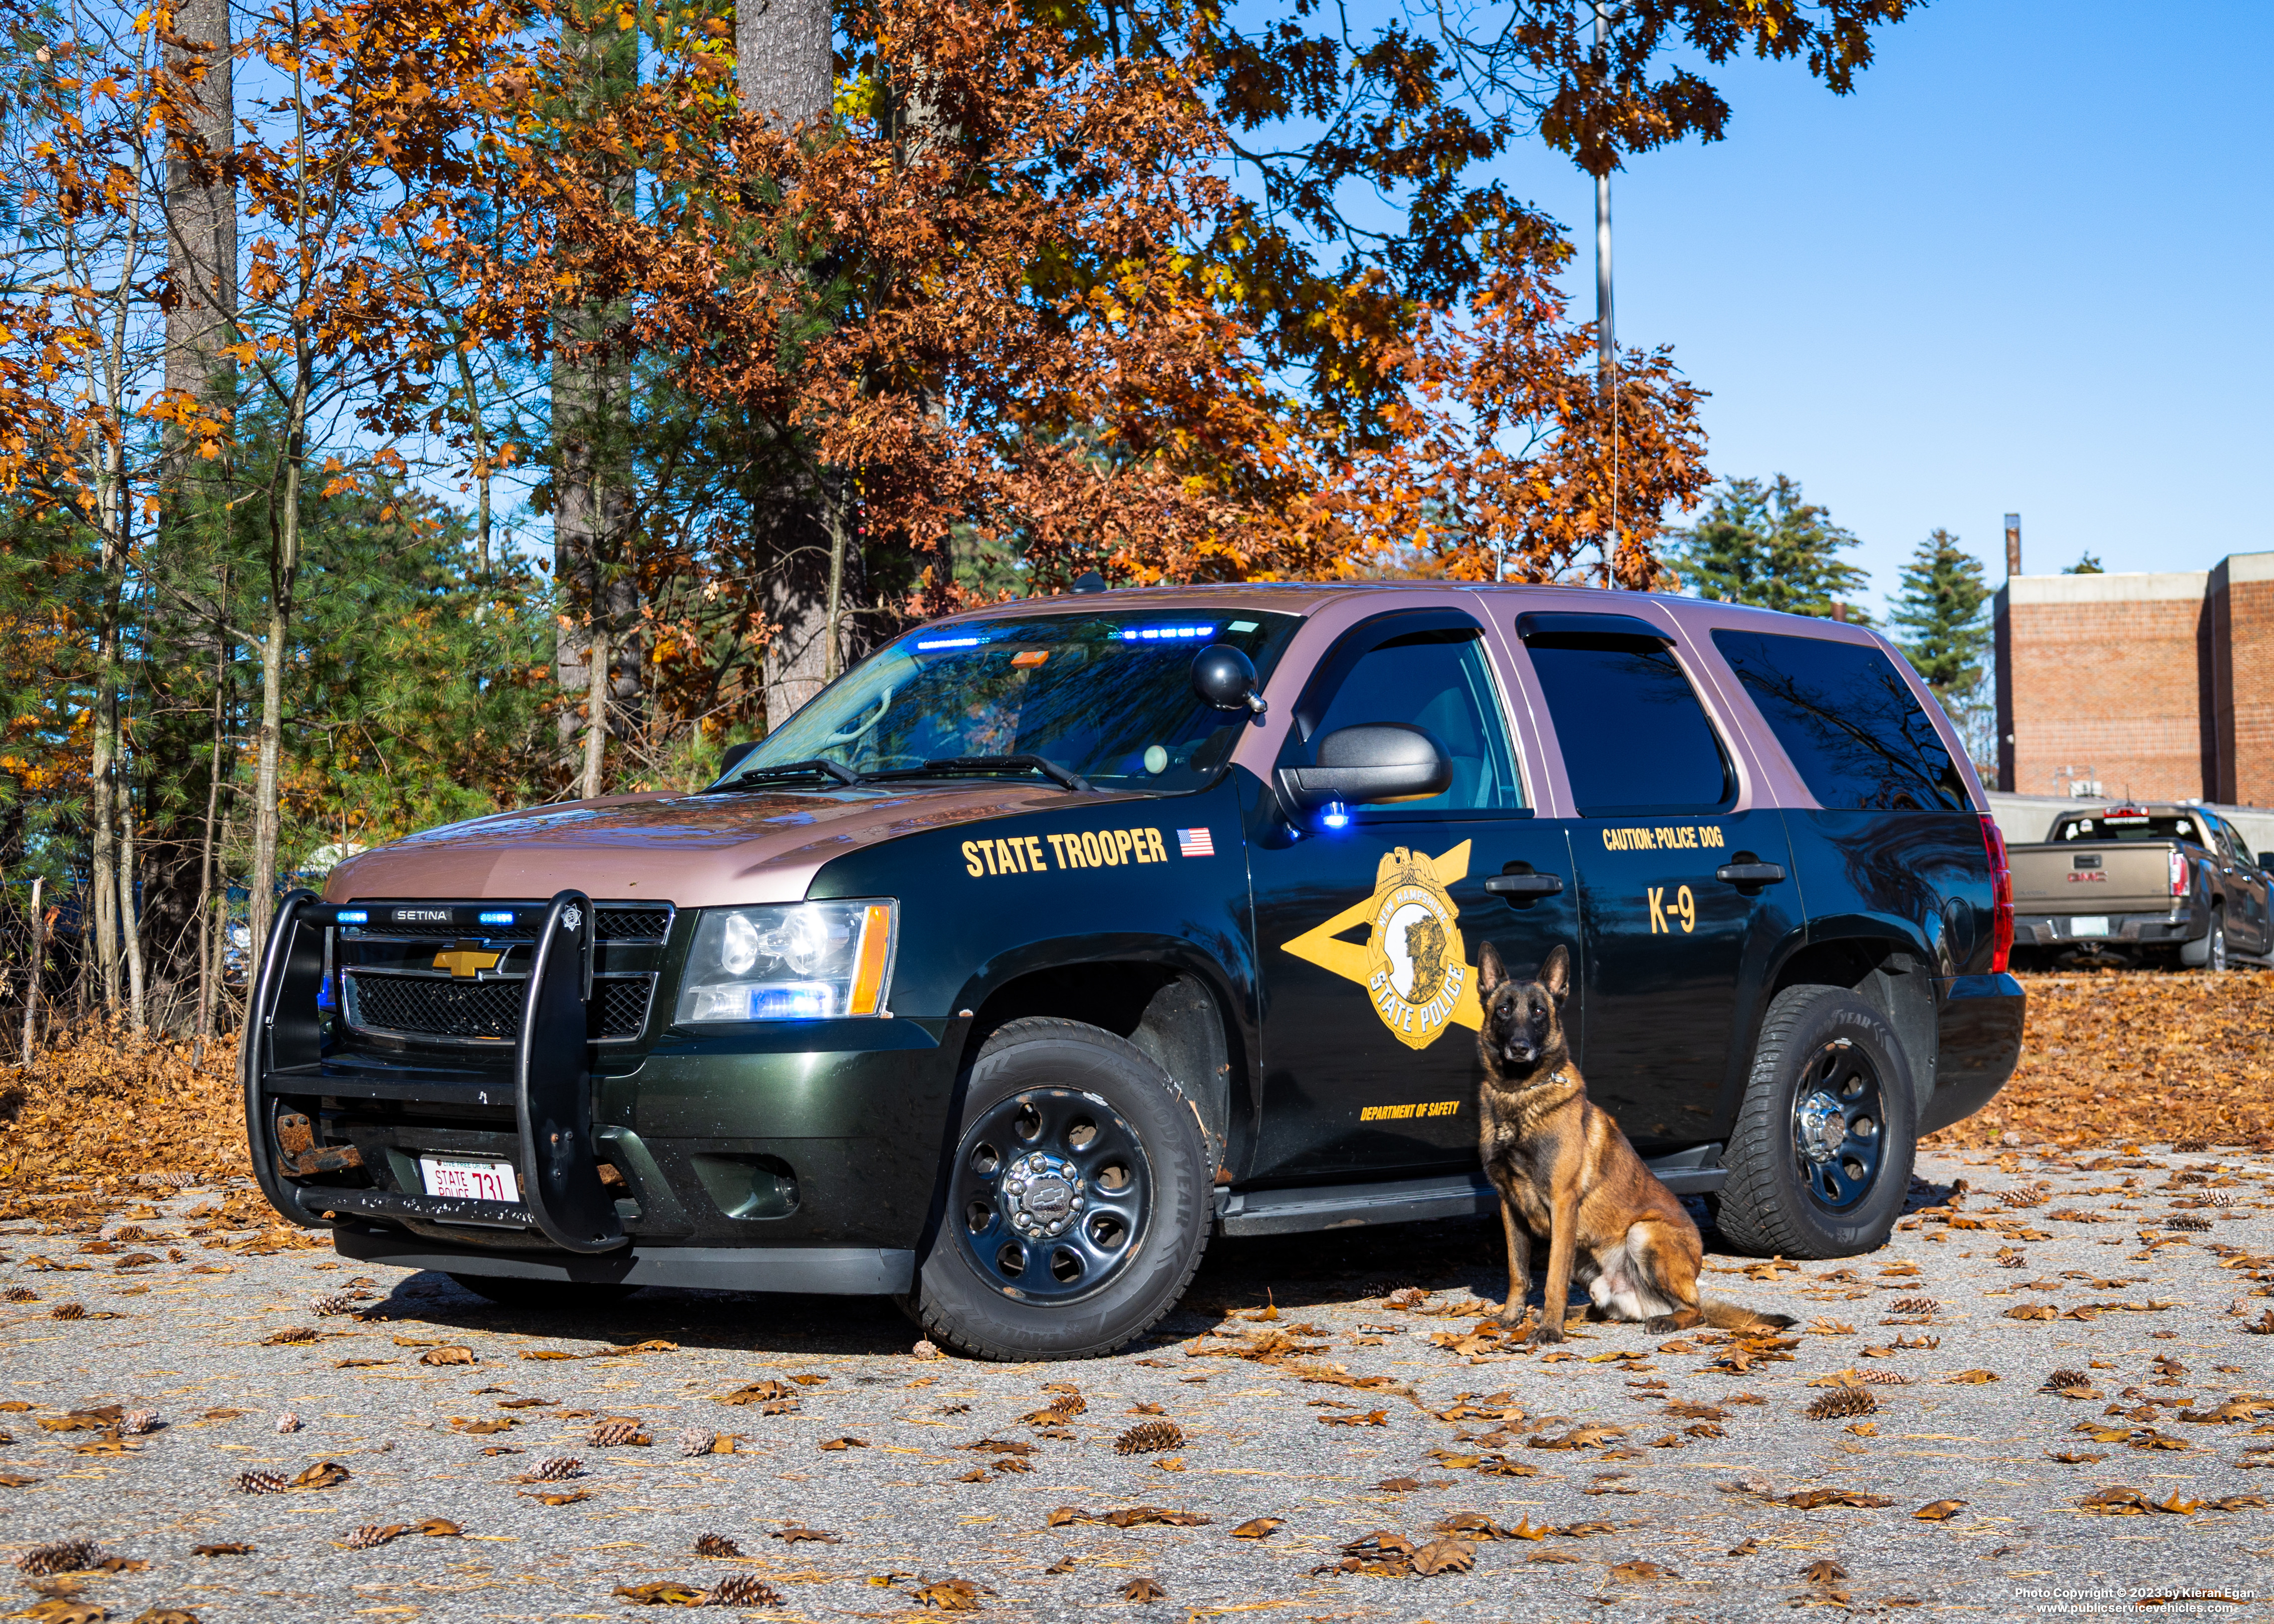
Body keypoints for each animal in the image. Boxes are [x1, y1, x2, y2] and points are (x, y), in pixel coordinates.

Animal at [1473, 937, 1791, 1337]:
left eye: (1539, 1012)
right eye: (1503, 1010)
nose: (1519, 1047)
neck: (1519, 1094)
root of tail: (1644, 1301)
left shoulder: (1562, 1203)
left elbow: (1552, 1278)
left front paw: (1549, 1329)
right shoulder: (1509, 1206)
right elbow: (1518, 1272)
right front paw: (1511, 1317)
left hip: (1642, 1233)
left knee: (1695, 1310)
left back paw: (1664, 1320)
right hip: (1588, 1257)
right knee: (1604, 1309)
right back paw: (1576, 1313)